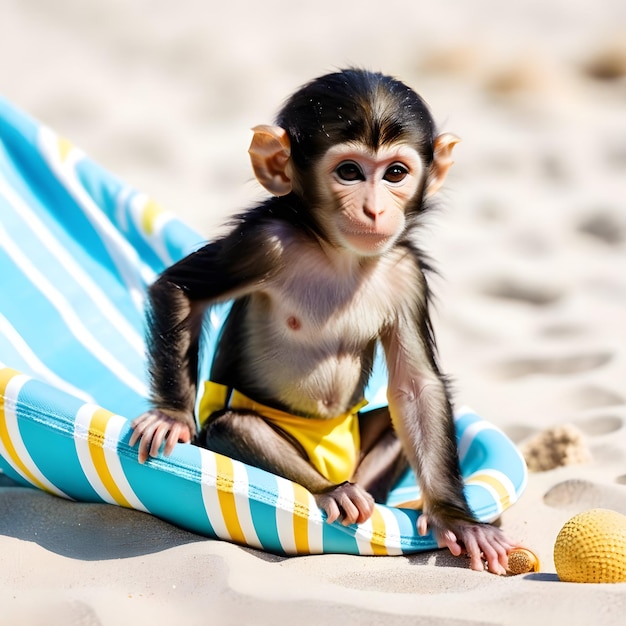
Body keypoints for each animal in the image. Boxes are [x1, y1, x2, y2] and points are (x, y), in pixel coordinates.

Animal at [130, 68, 512, 572]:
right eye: (349, 171)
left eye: (396, 173)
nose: (375, 208)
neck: (339, 254)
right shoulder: (263, 241)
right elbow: (180, 291)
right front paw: (171, 415)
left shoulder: (407, 274)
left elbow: (417, 387)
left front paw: (456, 517)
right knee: (238, 426)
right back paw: (332, 489)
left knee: (394, 425)